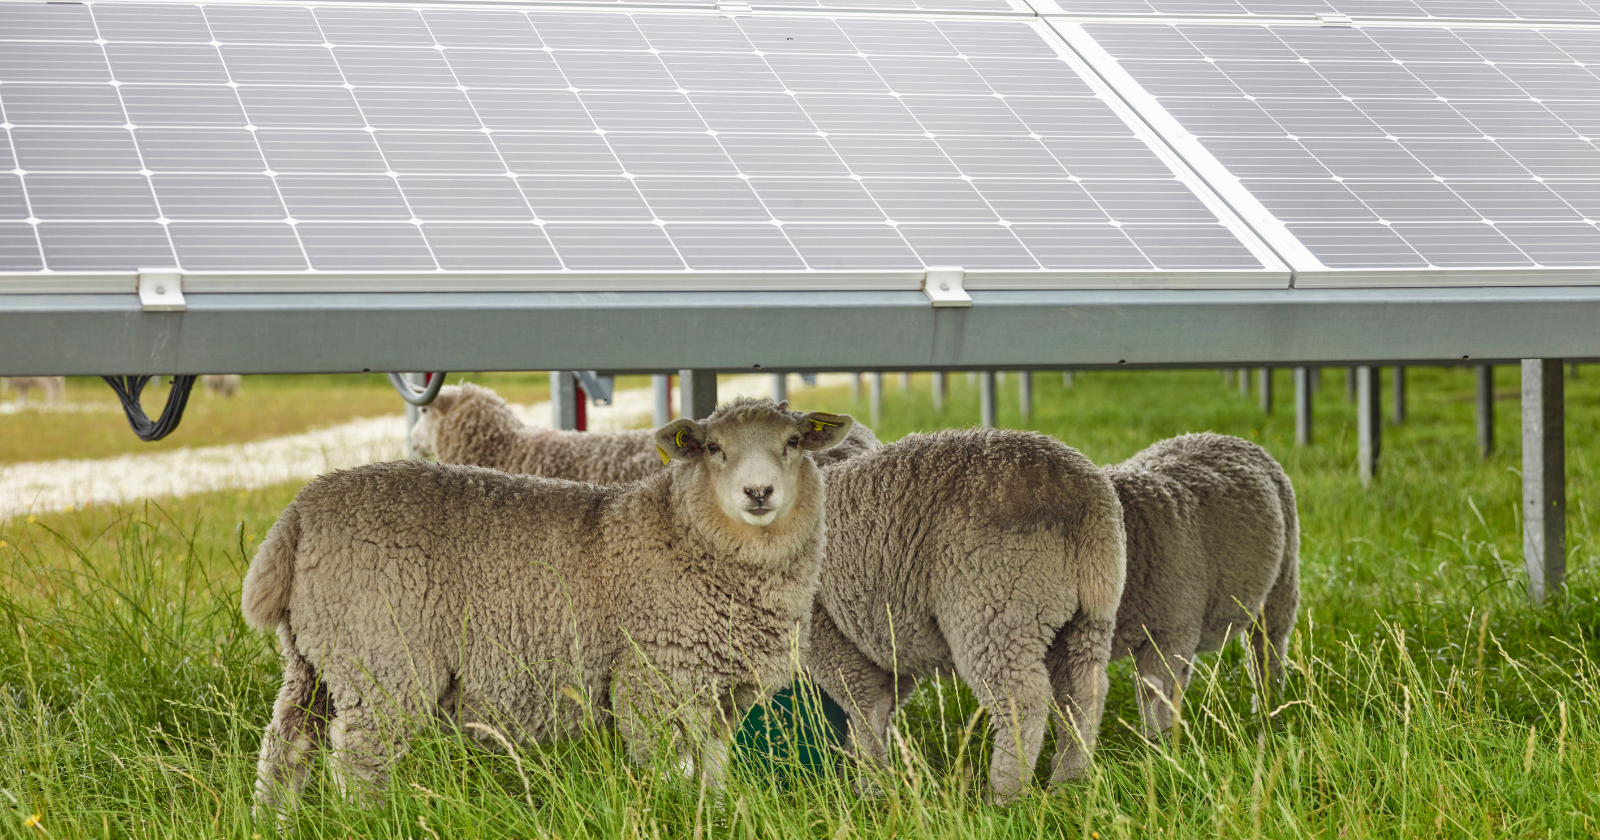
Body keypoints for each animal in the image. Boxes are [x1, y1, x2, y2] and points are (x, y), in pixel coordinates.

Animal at [241, 398, 856, 814]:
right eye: (713, 449)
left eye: (793, 443)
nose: (759, 493)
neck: (681, 534)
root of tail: (299, 513)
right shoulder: (651, 681)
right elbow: (667, 772)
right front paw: (675, 816)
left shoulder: (719, 695)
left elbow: (711, 773)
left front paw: (715, 816)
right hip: (382, 658)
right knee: (357, 762)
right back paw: (366, 819)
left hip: (314, 657)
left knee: (286, 749)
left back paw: (274, 821)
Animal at [805, 429, 1127, 802]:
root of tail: (1085, 498)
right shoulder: (891, 643)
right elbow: (884, 704)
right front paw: (870, 772)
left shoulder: (826, 633)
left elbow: (863, 706)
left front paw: (870, 784)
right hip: (1087, 619)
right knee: (1084, 690)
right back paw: (1070, 779)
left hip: (994, 605)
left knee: (1023, 700)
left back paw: (1004, 794)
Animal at [1102, 433, 1299, 738]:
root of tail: (1221, 436)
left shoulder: (1169, 632)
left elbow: (1152, 696)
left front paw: (1158, 745)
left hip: (1279, 587)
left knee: (1266, 654)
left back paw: (1267, 712)